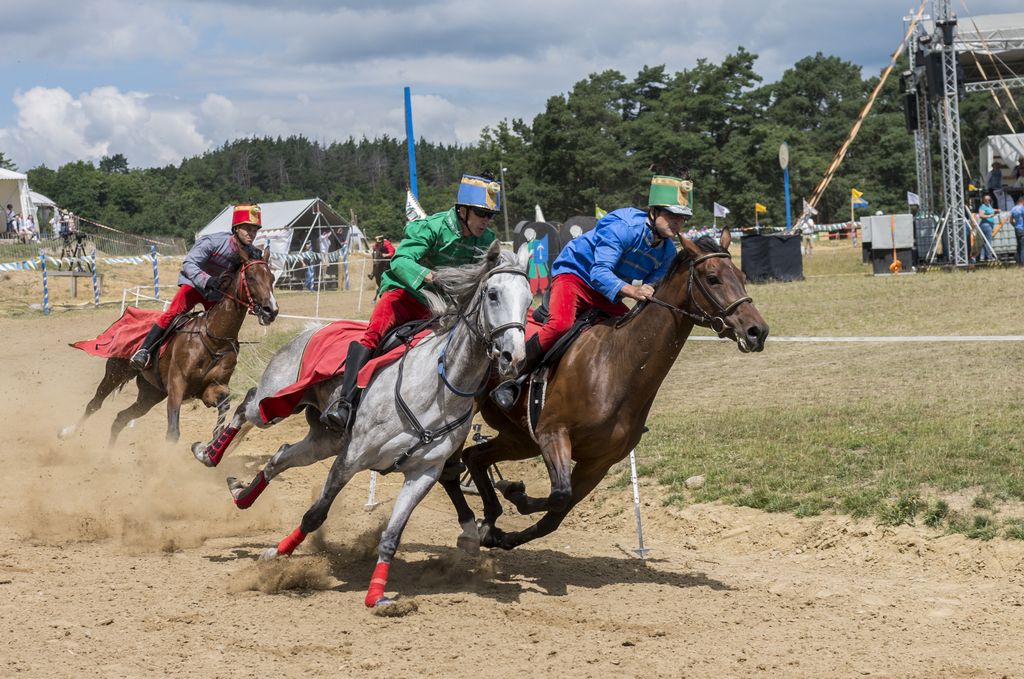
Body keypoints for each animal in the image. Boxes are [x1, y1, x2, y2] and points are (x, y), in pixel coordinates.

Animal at [66, 246, 278, 448]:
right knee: (94, 404)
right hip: (116, 372)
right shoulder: (177, 386)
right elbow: (173, 433)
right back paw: (68, 433)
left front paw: (214, 440)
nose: (271, 310)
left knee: (120, 418)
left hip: (150, 394)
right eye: (251, 276)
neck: (213, 340)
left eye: (272, 277)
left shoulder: (210, 389)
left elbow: (224, 404)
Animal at [202, 242, 532, 606]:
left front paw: (377, 596)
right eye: (493, 294)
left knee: (279, 457)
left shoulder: (423, 473)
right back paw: (208, 453)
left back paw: (242, 494)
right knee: (246, 405)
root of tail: (310, 329)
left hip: (324, 440)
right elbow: (315, 514)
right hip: (273, 402)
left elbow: (392, 534)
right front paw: (278, 552)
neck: (437, 389)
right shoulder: (352, 457)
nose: (513, 357)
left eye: (530, 299)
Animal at [440, 229, 770, 553]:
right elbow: (559, 494)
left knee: (473, 457)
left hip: (520, 439)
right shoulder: (552, 434)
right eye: (713, 278)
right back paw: (472, 525)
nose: (758, 331)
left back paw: (488, 521)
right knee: (451, 468)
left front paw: (506, 524)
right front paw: (512, 493)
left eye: (742, 276)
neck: (616, 367)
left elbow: (555, 514)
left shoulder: (597, 462)